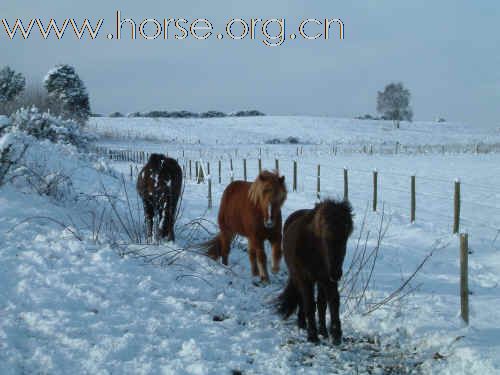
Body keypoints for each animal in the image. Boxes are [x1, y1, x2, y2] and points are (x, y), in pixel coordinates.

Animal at [276, 201, 354, 346]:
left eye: (345, 237)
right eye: (324, 238)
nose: (336, 273)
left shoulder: (327, 279)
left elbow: (332, 302)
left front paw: (336, 334)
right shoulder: (305, 278)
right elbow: (309, 304)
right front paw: (312, 335)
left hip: (320, 280)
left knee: (321, 303)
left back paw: (322, 331)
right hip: (300, 277)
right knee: (303, 299)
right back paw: (302, 324)